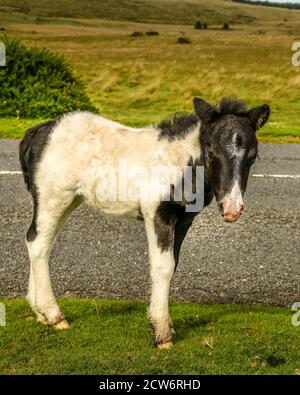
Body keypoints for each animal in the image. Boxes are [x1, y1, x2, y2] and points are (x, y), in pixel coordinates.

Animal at [19, 99, 270, 350]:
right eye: (211, 152)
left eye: (253, 156)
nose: (232, 209)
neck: (179, 163)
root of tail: (40, 131)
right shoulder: (157, 213)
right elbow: (163, 266)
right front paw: (162, 333)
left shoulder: (183, 221)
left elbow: (173, 264)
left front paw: (168, 325)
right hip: (53, 198)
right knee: (38, 244)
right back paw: (54, 315)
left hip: (69, 201)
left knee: (40, 242)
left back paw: (40, 313)